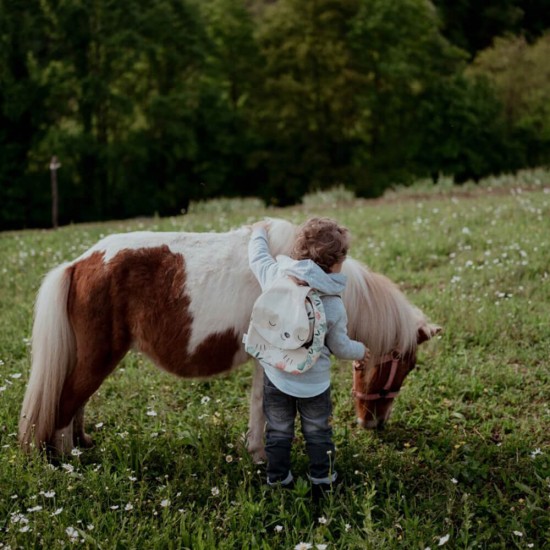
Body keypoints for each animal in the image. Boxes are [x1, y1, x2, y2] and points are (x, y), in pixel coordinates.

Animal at [18, 218, 440, 460]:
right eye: (404, 365)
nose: (374, 423)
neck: (300, 272)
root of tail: (80, 263)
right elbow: (264, 408)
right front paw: (262, 458)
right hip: (98, 357)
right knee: (66, 402)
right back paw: (65, 459)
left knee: (76, 401)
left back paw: (81, 444)